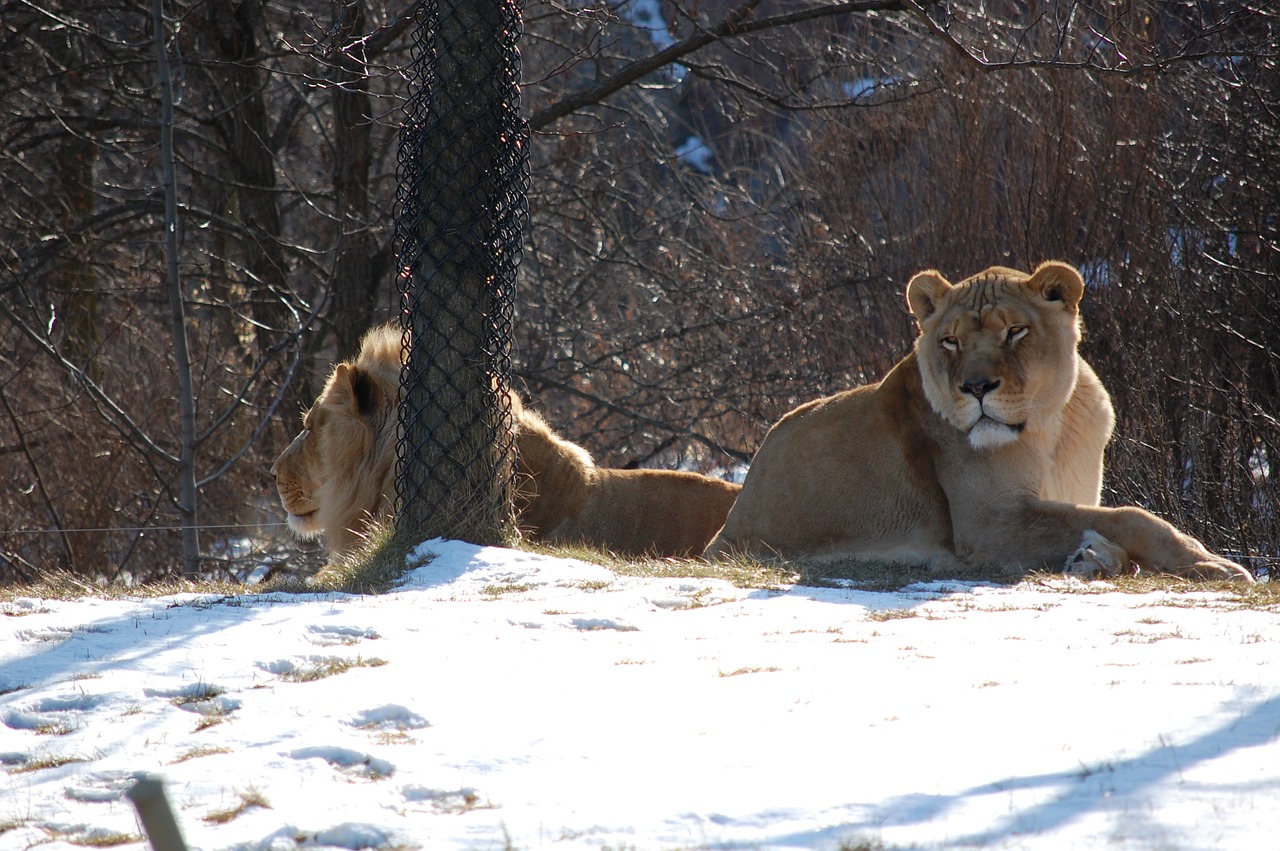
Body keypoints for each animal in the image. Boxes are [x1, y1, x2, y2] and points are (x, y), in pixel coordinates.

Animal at [701, 262, 1249, 580]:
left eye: (1015, 331)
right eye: (951, 341)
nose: (977, 387)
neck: (1051, 427)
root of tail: (726, 526)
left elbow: (1104, 523)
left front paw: (1091, 558)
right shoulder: (989, 523)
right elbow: (1132, 515)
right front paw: (1213, 563)